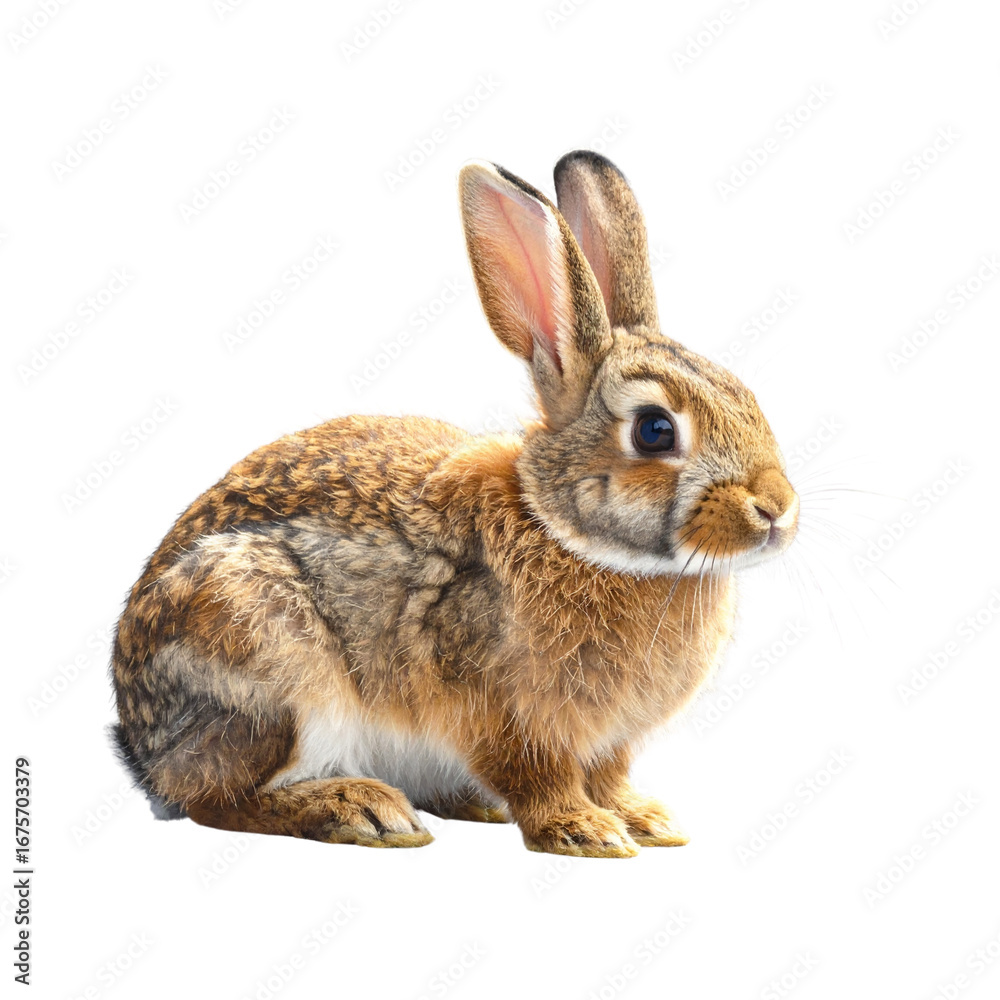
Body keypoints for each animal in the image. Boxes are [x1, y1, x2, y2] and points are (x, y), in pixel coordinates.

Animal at [111, 150, 798, 857]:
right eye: (655, 430)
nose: (776, 509)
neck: (566, 532)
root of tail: (144, 746)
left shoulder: (609, 742)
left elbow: (609, 777)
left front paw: (647, 821)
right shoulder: (500, 713)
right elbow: (536, 777)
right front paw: (583, 832)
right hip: (266, 662)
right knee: (218, 798)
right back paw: (361, 809)